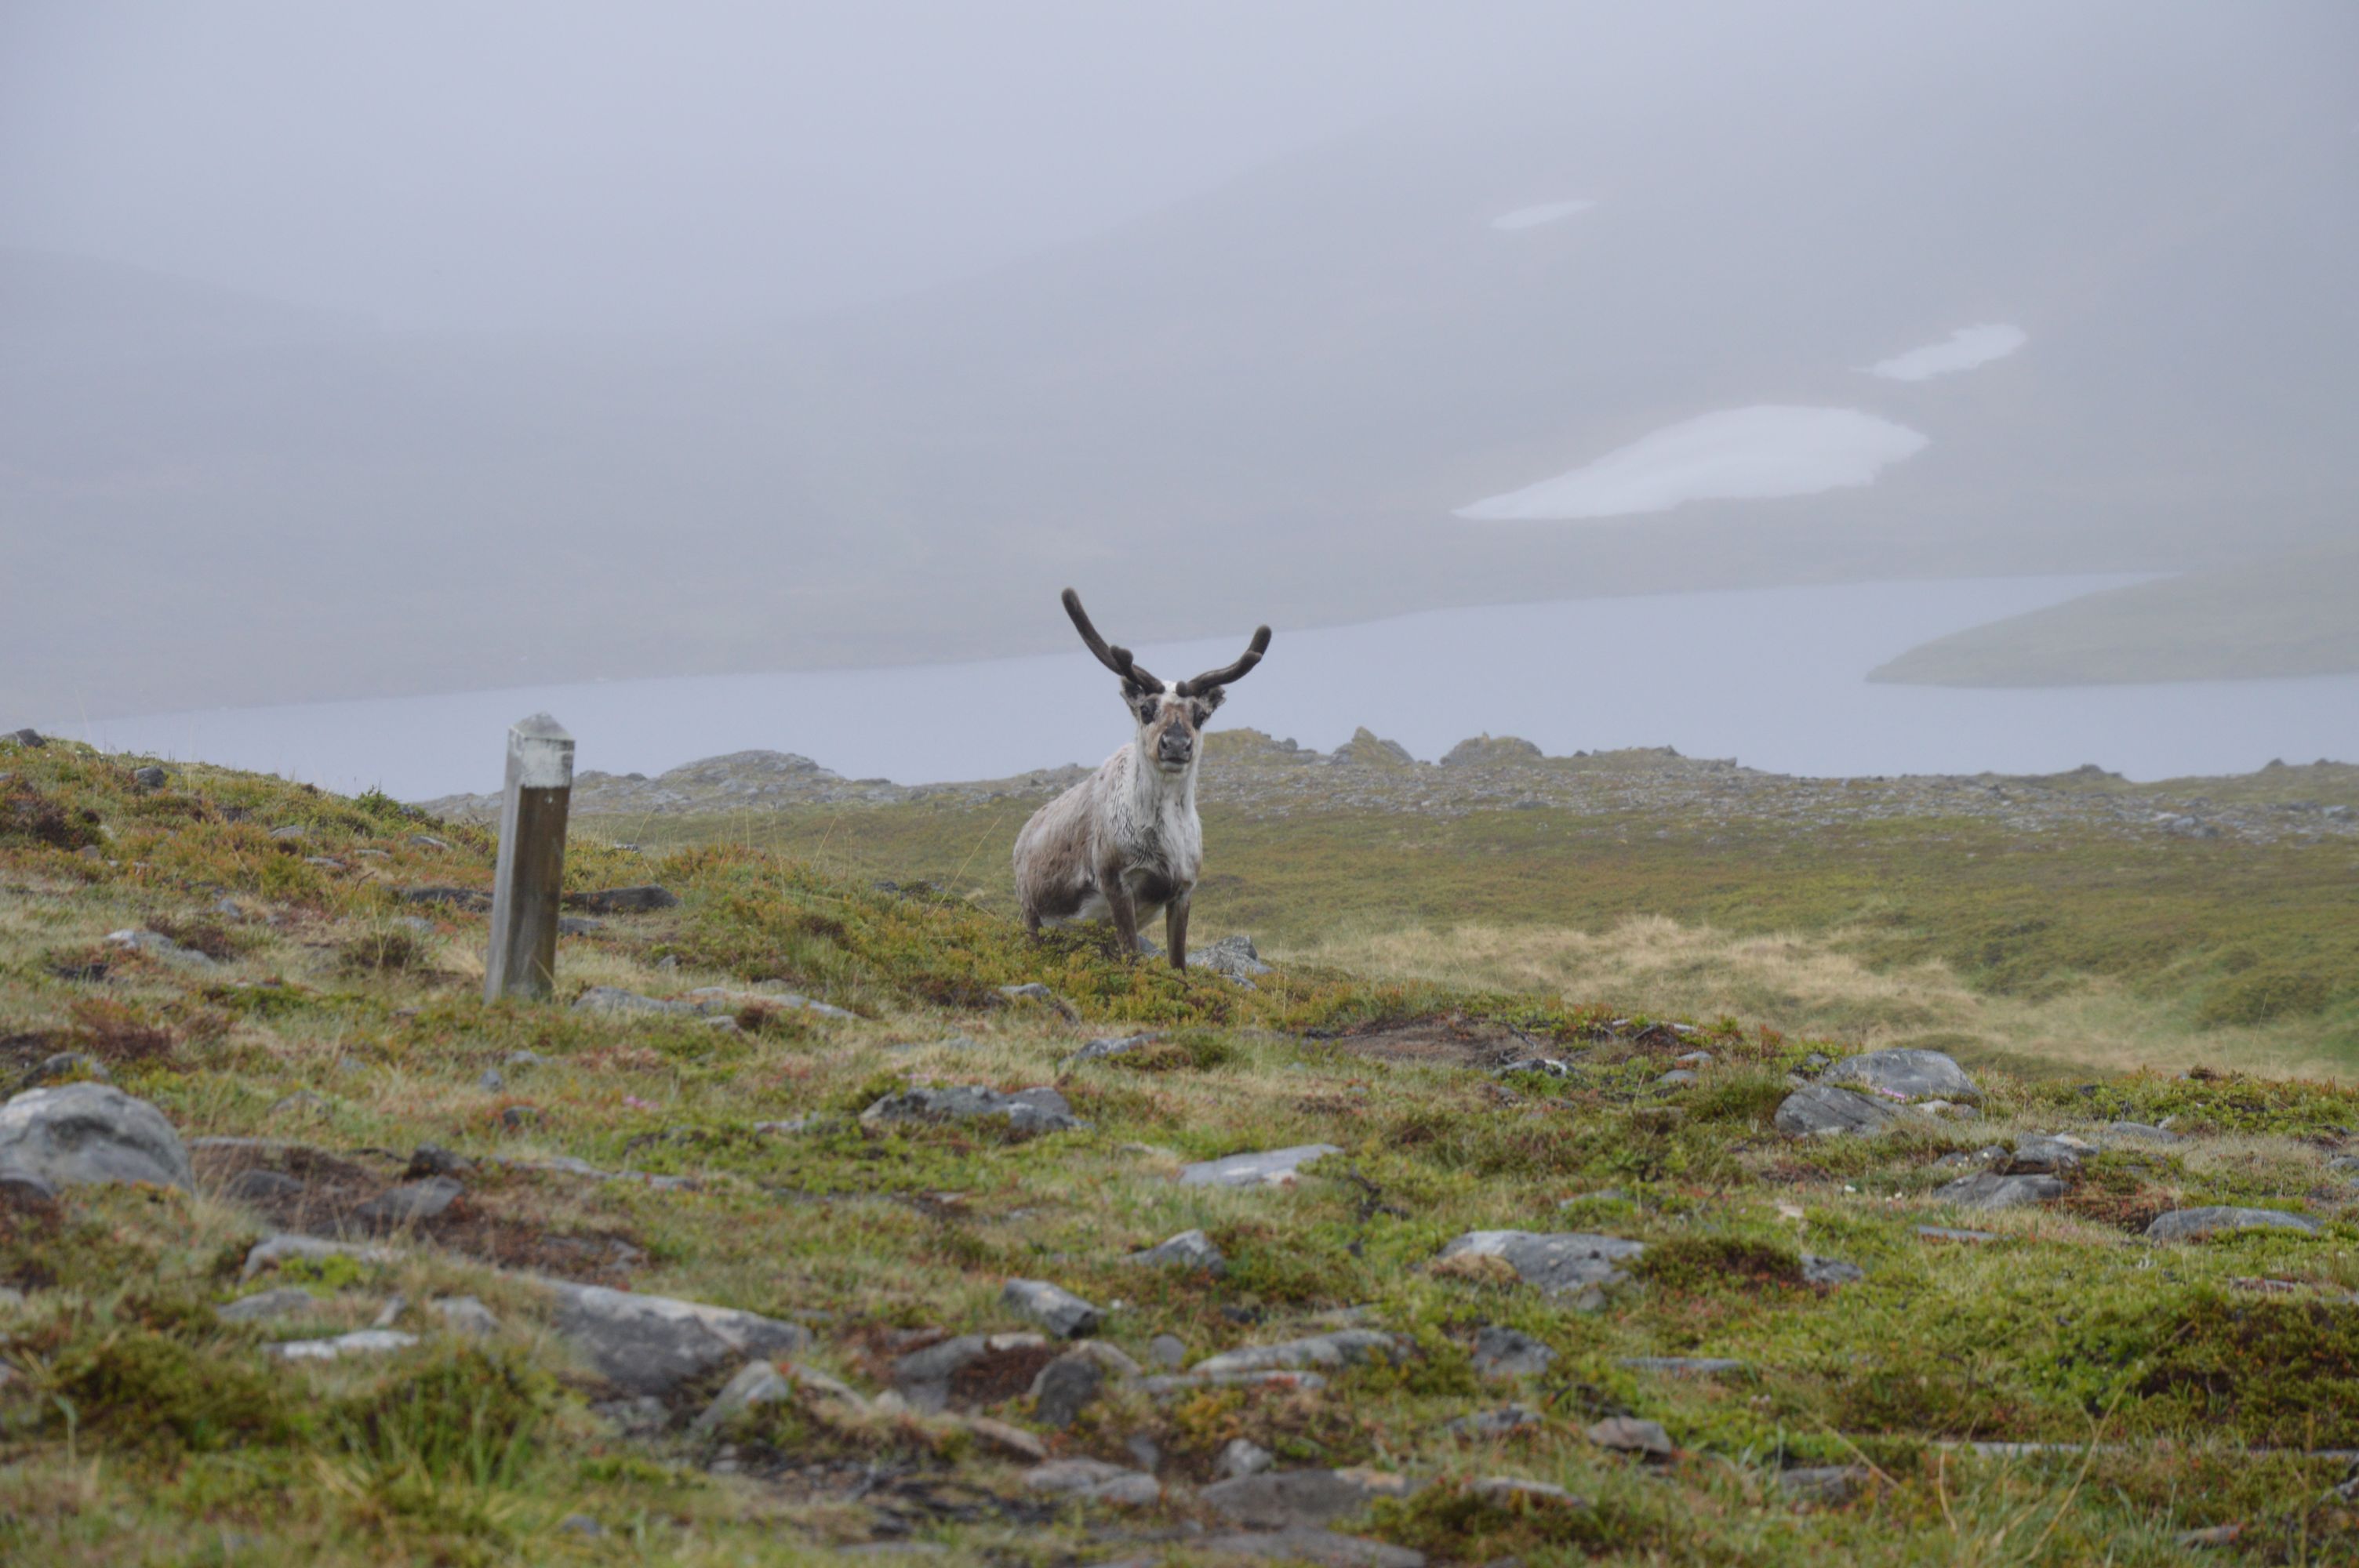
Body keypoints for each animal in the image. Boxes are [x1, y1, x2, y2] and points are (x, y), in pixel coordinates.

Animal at [1014, 588, 1271, 970]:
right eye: (1147, 709)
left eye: (1200, 715)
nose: (1176, 744)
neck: (1165, 833)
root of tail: (1022, 835)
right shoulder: (1116, 881)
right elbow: (1133, 958)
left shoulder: (1184, 887)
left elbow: (1178, 962)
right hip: (1032, 913)